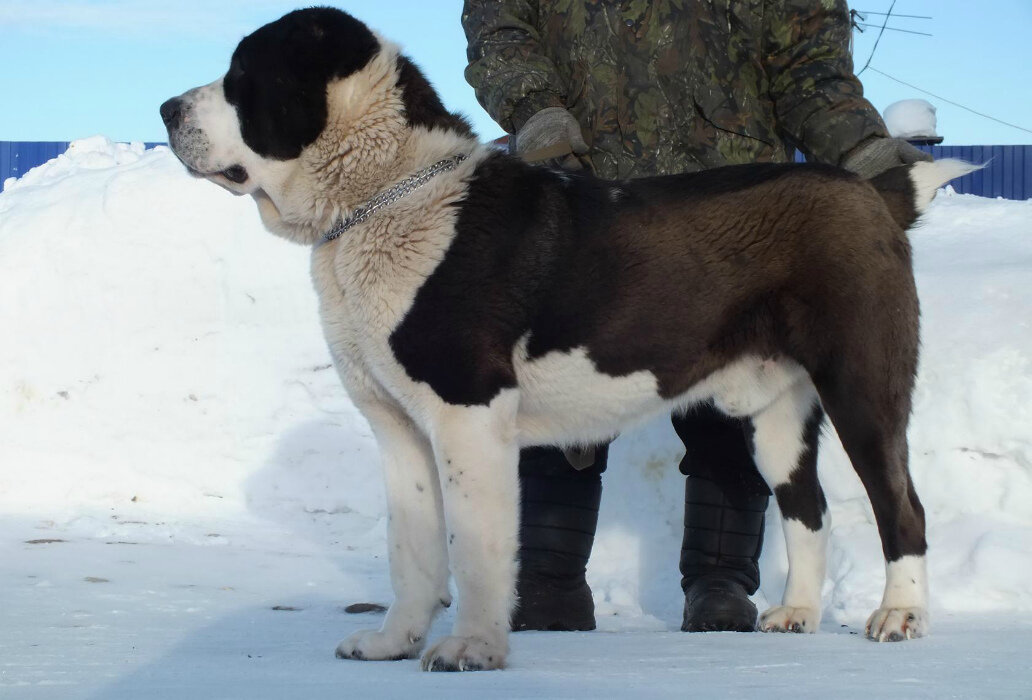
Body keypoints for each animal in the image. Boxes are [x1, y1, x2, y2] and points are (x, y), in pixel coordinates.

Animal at [160, 5, 974, 673]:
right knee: (808, 505)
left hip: (862, 389)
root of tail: (867, 192)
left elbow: (476, 546)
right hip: (774, 417)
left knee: (900, 506)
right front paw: (394, 641)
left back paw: (900, 615)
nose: (166, 108)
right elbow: (412, 549)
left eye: (242, 76)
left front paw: (472, 649)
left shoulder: (468, 413)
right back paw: (797, 614)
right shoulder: (399, 429)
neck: (384, 194)